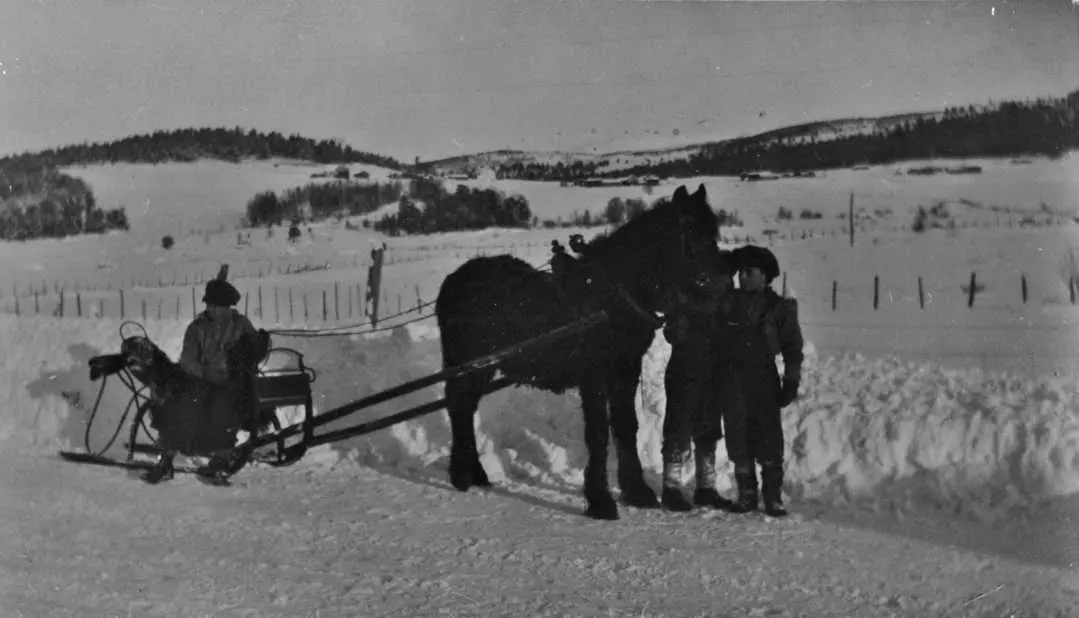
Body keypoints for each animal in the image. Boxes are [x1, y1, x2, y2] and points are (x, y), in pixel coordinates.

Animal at [431, 181, 725, 517]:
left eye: (713, 233)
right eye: (687, 231)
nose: (715, 290)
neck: (611, 296)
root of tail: (454, 280)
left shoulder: (625, 370)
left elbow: (626, 426)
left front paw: (636, 491)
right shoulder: (594, 374)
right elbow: (597, 433)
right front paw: (600, 499)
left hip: (482, 366)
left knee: (465, 407)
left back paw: (476, 473)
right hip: (469, 365)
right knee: (459, 406)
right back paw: (461, 475)